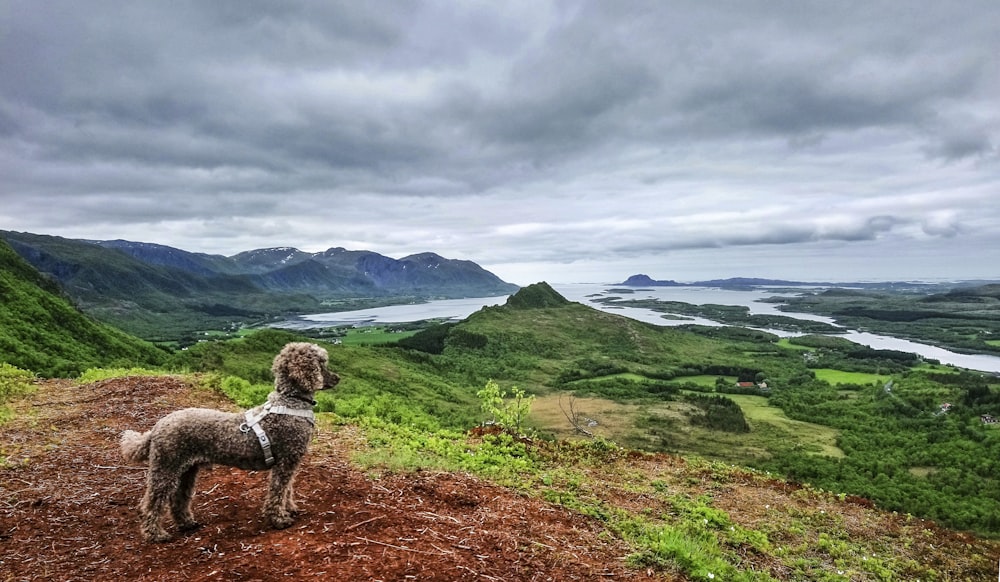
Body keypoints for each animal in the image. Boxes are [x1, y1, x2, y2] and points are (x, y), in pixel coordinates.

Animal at [120, 342, 340, 544]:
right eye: (321, 363)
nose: (338, 378)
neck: (290, 401)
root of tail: (156, 427)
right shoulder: (286, 461)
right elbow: (278, 491)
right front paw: (279, 519)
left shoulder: (290, 462)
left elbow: (287, 489)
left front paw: (290, 509)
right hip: (165, 467)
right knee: (152, 502)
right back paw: (155, 534)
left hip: (187, 471)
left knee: (179, 498)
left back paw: (187, 523)